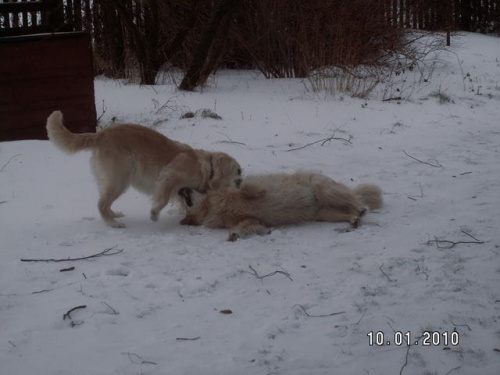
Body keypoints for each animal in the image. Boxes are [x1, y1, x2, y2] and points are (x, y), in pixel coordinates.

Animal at [47, 111, 242, 229]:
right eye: (238, 173)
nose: (241, 185)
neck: (207, 170)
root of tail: (100, 135)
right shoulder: (169, 176)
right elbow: (163, 199)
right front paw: (154, 214)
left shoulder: (182, 191)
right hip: (119, 180)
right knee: (101, 204)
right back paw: (112, 224)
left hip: (114, 182)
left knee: (105, 202)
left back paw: (114, 215)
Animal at [179, 173, 382, 242]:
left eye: (185, 198)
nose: (181, 189)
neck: (213, 206)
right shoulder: (251, 220)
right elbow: (244, 225)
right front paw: (234, 235)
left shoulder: (252, 191)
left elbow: (246, 187)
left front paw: (239, 182)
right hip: (324, 214)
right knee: (349, 211)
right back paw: (355, 219)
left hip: (325, 190)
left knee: (355, 200)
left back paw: (361, 208)